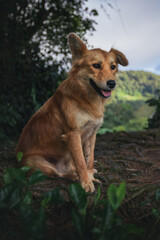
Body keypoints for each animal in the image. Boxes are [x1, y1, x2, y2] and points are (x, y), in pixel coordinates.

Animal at [16, 33, 128, 192]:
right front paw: (86, 182)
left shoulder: (92, 133)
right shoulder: (73, 134)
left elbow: (89, 159)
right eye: (96, 65)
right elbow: (81, 161)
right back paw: (74, 176)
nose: (112, 83)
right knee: (58, 173)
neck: (86, 97)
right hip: (38, 163)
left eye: (113, 67)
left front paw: (90, 176)